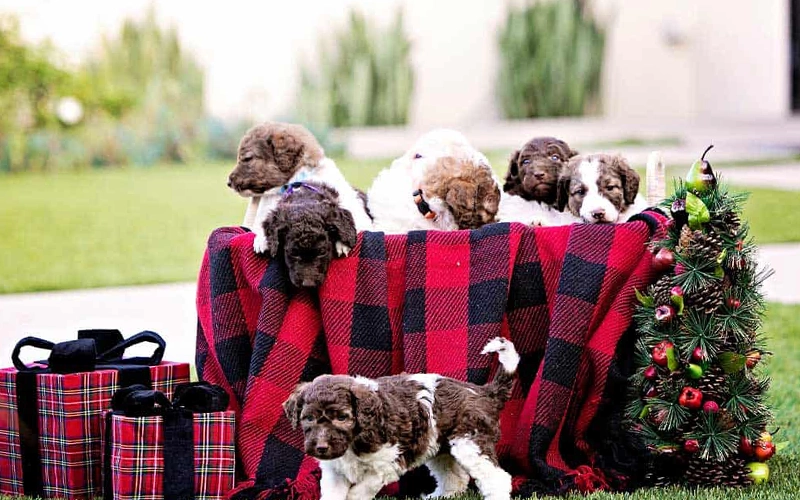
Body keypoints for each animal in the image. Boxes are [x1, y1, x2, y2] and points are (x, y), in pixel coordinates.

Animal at [282, 336, 520, 500]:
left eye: (342, 417)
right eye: (308, 418)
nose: (321, 447)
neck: (353, 440)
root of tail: (484, 392)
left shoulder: (388, 462)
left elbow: (359, 491)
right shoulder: (335, 470)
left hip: (471, 442)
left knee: (497, 478)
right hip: (441, 446)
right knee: (455, 477)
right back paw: (441, 495)